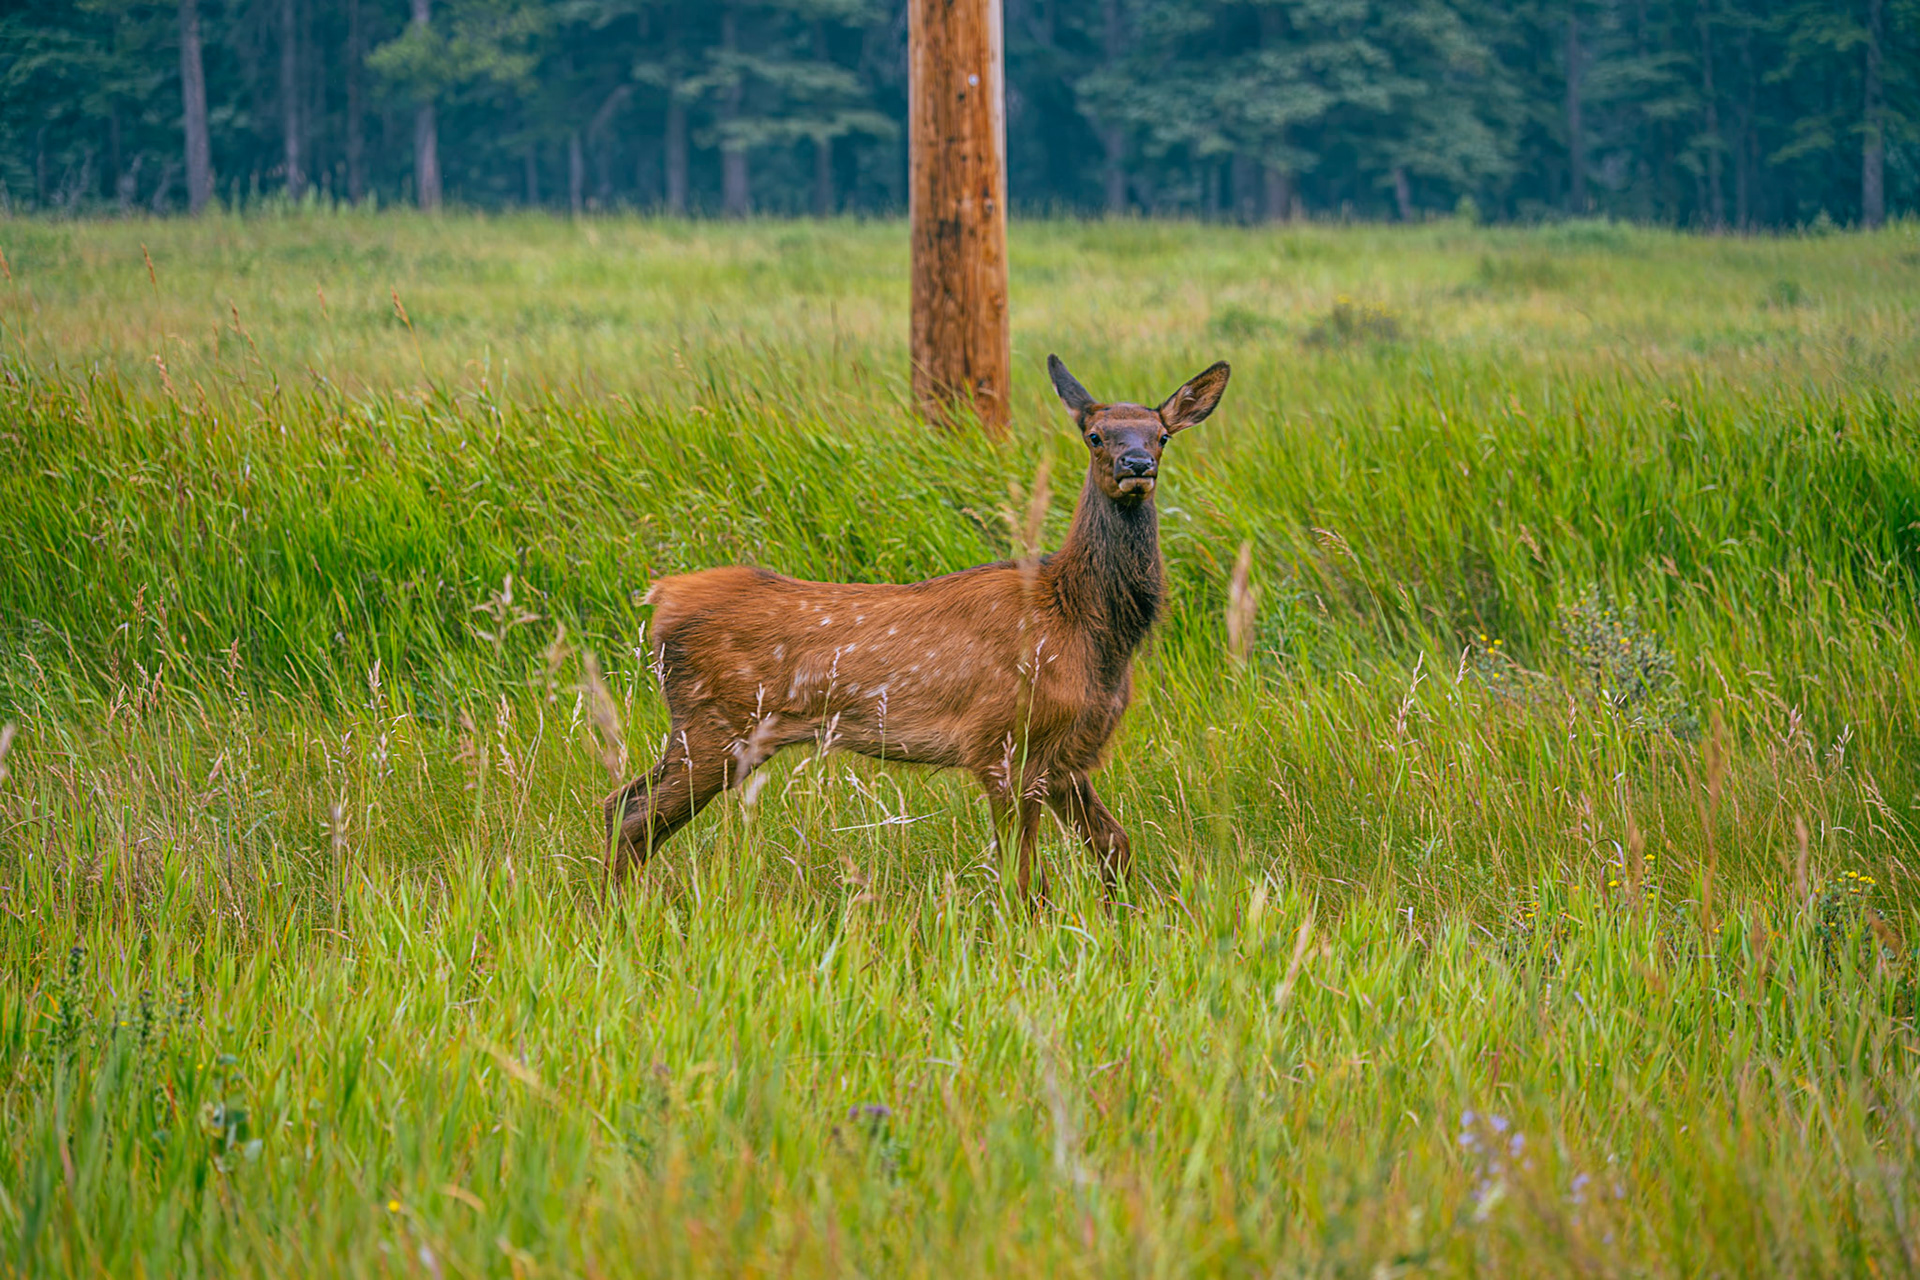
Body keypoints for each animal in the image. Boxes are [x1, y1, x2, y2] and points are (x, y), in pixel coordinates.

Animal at [603, 354, 1231, 900]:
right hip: (714, 724)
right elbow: (1024, 876)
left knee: (623, 804)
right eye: (1096, 436)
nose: (1136, 467)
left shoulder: (1066, 756)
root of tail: (661, 597)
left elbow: (1114, 845)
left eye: (1161, 436)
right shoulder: (1001, 742)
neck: (1084, 625)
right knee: (631, 815)